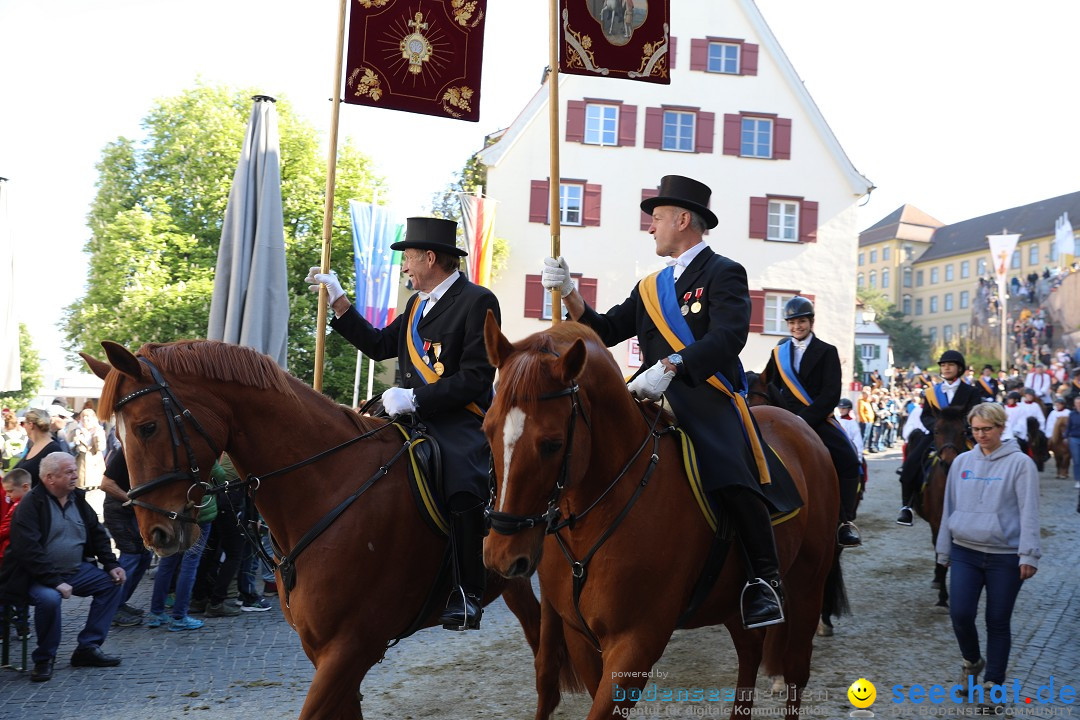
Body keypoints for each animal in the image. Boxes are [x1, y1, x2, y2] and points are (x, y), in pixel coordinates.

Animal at [81, 341, 548, 720]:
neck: (329, 483)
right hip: (511, 577)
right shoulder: (323, 650)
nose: (155, 533)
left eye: (146, 427)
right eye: (118, 433)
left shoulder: (352, 647)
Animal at [483, 317, 842, 720]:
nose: (500, 555)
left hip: (808, 582)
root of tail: (799, 425)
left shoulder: (636, 641)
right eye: (487, 430)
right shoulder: (579, 637)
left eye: (552, 444)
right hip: (732, 600)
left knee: (796, 669)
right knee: (750, 648)